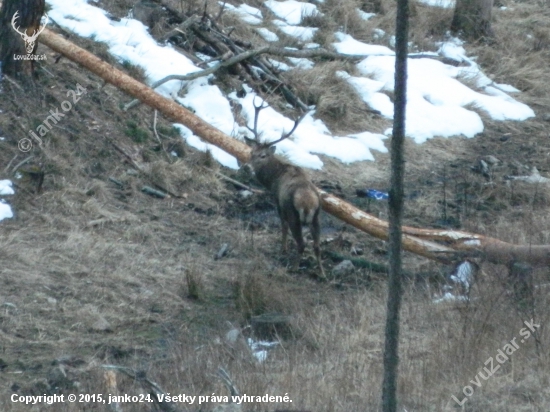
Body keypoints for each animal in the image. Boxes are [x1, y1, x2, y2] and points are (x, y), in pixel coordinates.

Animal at [243, 99, 328, 278]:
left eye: (263, 155)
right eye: (251, 152)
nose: (247, 167)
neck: (274, 178)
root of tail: (308, 203)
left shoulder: (278, 201)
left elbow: (282, 225)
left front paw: (283, 248)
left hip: (293, 213)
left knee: (302, 243)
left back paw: (295, 267)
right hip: (317, 217)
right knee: (317, 246)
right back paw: (322, 274)